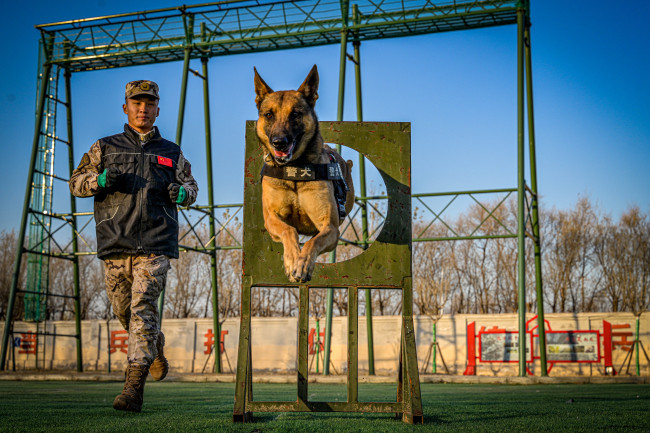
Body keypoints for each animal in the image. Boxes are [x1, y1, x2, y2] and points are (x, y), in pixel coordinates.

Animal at [253, 63, 354, 280]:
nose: (279, 142)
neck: (295, 169)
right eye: (269, 115)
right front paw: (292, 260)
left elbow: (312, 242)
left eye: (295, 114)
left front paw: (303, 264)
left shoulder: (330, 227)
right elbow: (288, 230)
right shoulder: (271, 218)